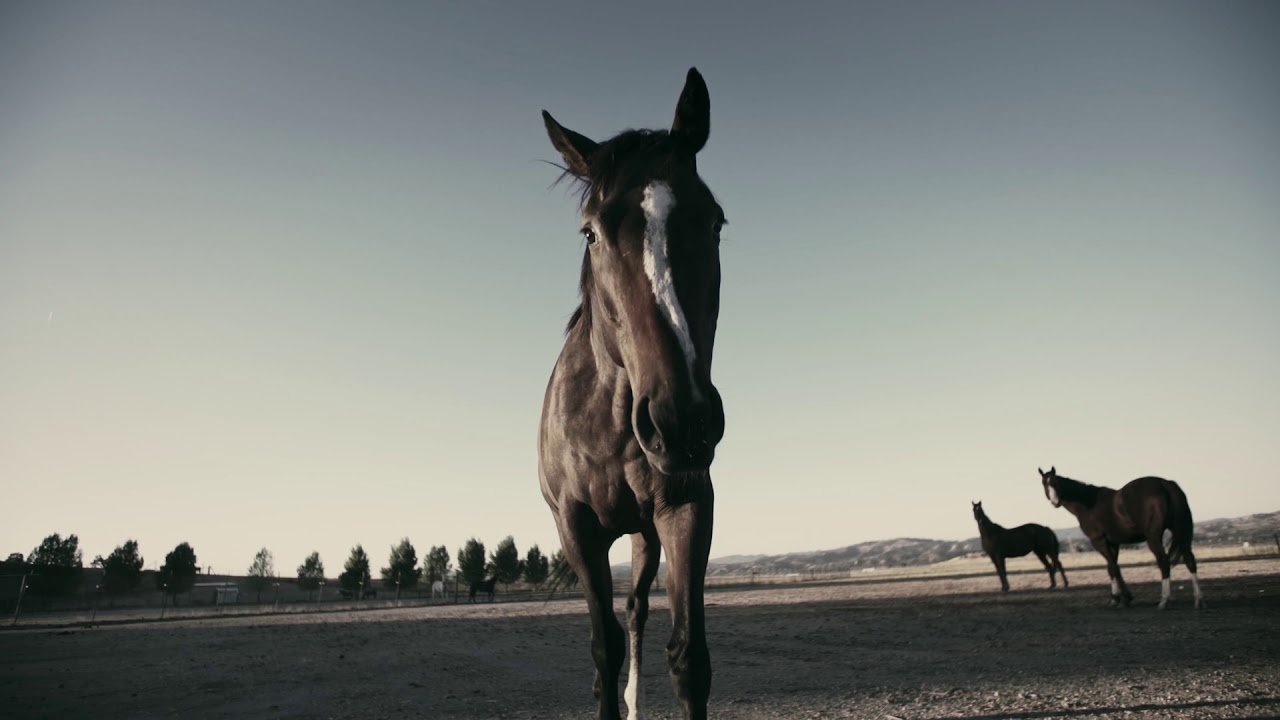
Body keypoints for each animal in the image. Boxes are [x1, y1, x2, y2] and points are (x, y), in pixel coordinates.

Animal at [538, 68, 726, 720]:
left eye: (715, 221)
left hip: (644, 538)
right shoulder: (577, 529)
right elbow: (603, 647)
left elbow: (688, 657)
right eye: (591, 232)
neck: (609, 422)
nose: (680, 421)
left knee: (638, 611)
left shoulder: (685, 507)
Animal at [1039, 466, 1202, 609]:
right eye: (1044, 483)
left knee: (1164, 562)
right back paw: (1197, 600)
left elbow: (1113, 567)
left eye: (1056, 482)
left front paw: (1124, 598)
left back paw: (1164, 601)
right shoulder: (1114, 543)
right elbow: (1112, 568)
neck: (1088, 504)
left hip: (1153, 537)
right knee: (1190, 561)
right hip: (1180, 533)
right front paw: (1117, 598)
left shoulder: (1099, 541)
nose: (1055, 502)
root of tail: (1166, 484)